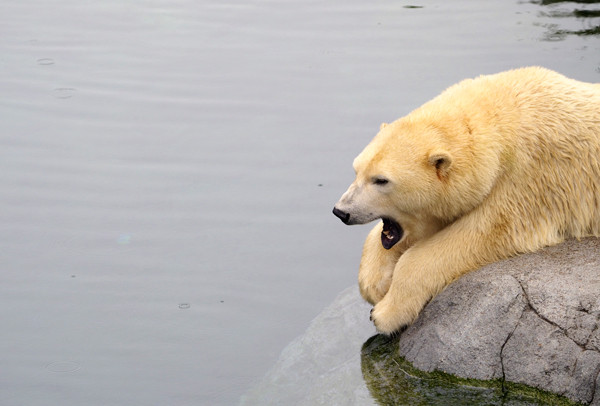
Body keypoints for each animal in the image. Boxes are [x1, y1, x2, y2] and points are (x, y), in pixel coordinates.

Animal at [332, 66, 600, 334]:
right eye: (357, 170)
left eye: (381, 180)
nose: (341, 211)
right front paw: (375, 282)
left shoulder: (531, 179)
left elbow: (481, 233)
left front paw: (385, 313)